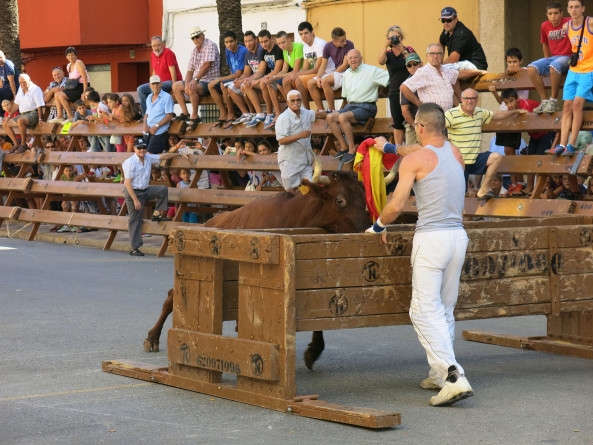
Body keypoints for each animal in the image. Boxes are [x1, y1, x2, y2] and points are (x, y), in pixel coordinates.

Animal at [145, 170, 370, 368]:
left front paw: (314, 349)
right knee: (171, 296)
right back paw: (152, 337)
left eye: (364, 198)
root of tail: (209, 222)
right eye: (340, 200)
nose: (365, 228)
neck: (298, 217)